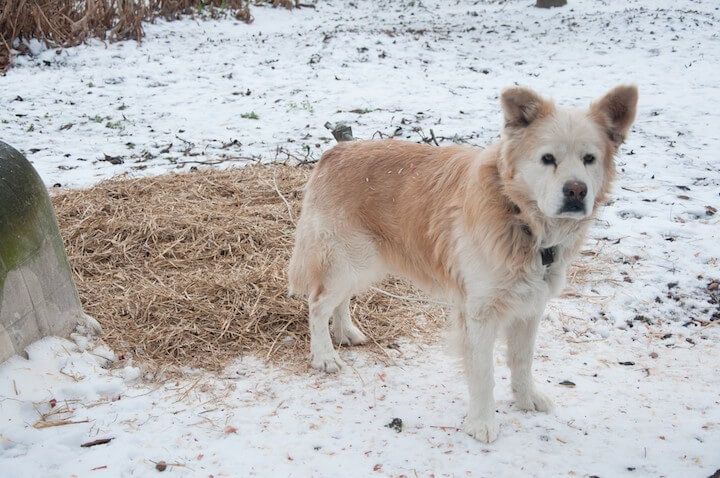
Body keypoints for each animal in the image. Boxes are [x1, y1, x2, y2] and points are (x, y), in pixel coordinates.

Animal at [286, 84, 636, 442]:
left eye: (589, 159)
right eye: (547, 159)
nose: (576, 191)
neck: (518, 215)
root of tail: (335, 152)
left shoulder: (530, 308)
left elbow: (522, 361)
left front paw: (526, 399)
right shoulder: (479, 313)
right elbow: (483, 374)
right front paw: (482, 423)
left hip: (363, 263)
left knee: (338, 300)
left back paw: (346, 333)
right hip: (348, 259)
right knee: (317, 303)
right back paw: (325, 356)